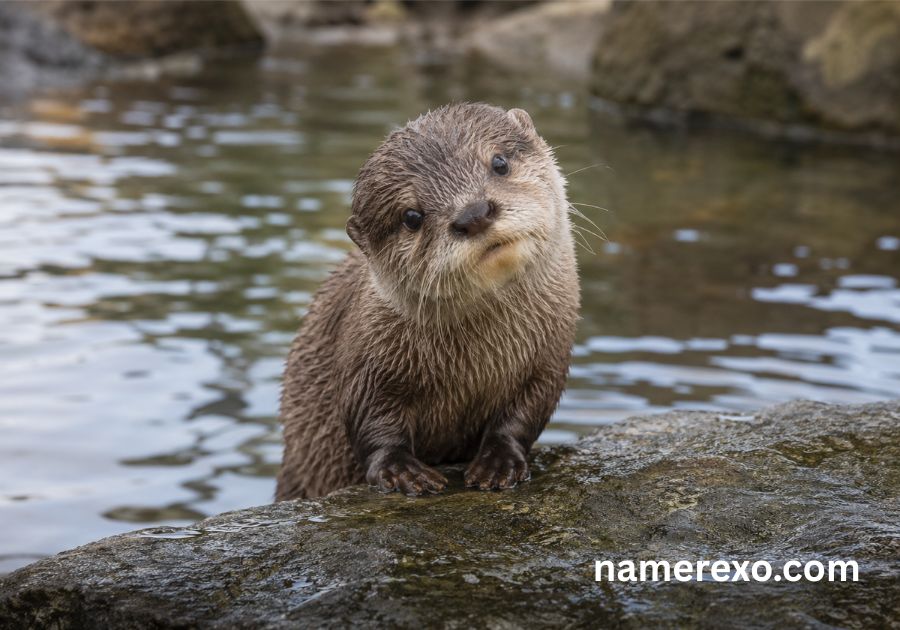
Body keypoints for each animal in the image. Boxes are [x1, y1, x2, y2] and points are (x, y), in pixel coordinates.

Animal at [276, 103, 579, 500]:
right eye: (411, 216)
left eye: (499, 163)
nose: (473, 214)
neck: (475, 363)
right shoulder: (366, 361)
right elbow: (371, 421)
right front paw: (400, 471)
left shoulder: (548, 359)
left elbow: (522, 417)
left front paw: (499, 462)